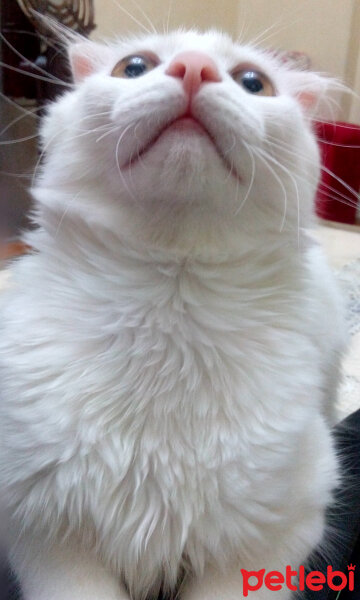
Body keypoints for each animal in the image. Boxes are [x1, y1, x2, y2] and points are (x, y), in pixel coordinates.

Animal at [0, 29, 346, 600]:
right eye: (134, 67)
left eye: (254, 82)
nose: (194, 66)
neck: (167, 305)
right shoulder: (45, 533)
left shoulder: (278, 534)